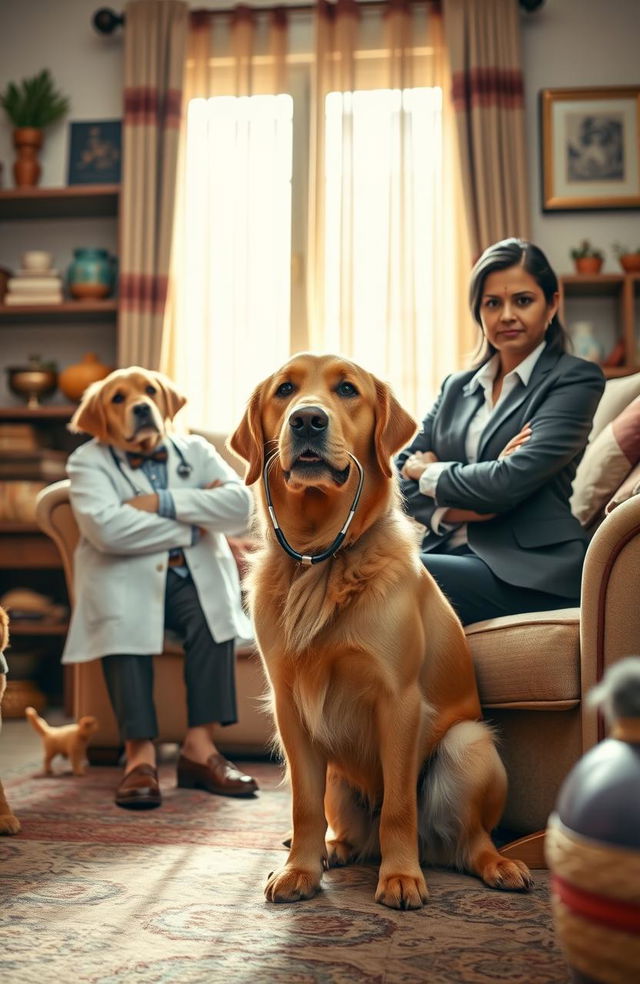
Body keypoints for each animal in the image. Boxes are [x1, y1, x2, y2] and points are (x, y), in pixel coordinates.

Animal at [230, 352, 528, 908]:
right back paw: (334, 849)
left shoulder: (399, 700)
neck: (321, 557)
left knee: (469, 840)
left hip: (469, 745)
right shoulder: (289, 707)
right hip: (337, 776)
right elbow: (303, 806)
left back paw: (498, 866)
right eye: (285, 390)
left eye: (348, 389)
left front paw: (401, 877)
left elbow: (398, 808)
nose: (307, 420)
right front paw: (299, 870)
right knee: (347, 829)